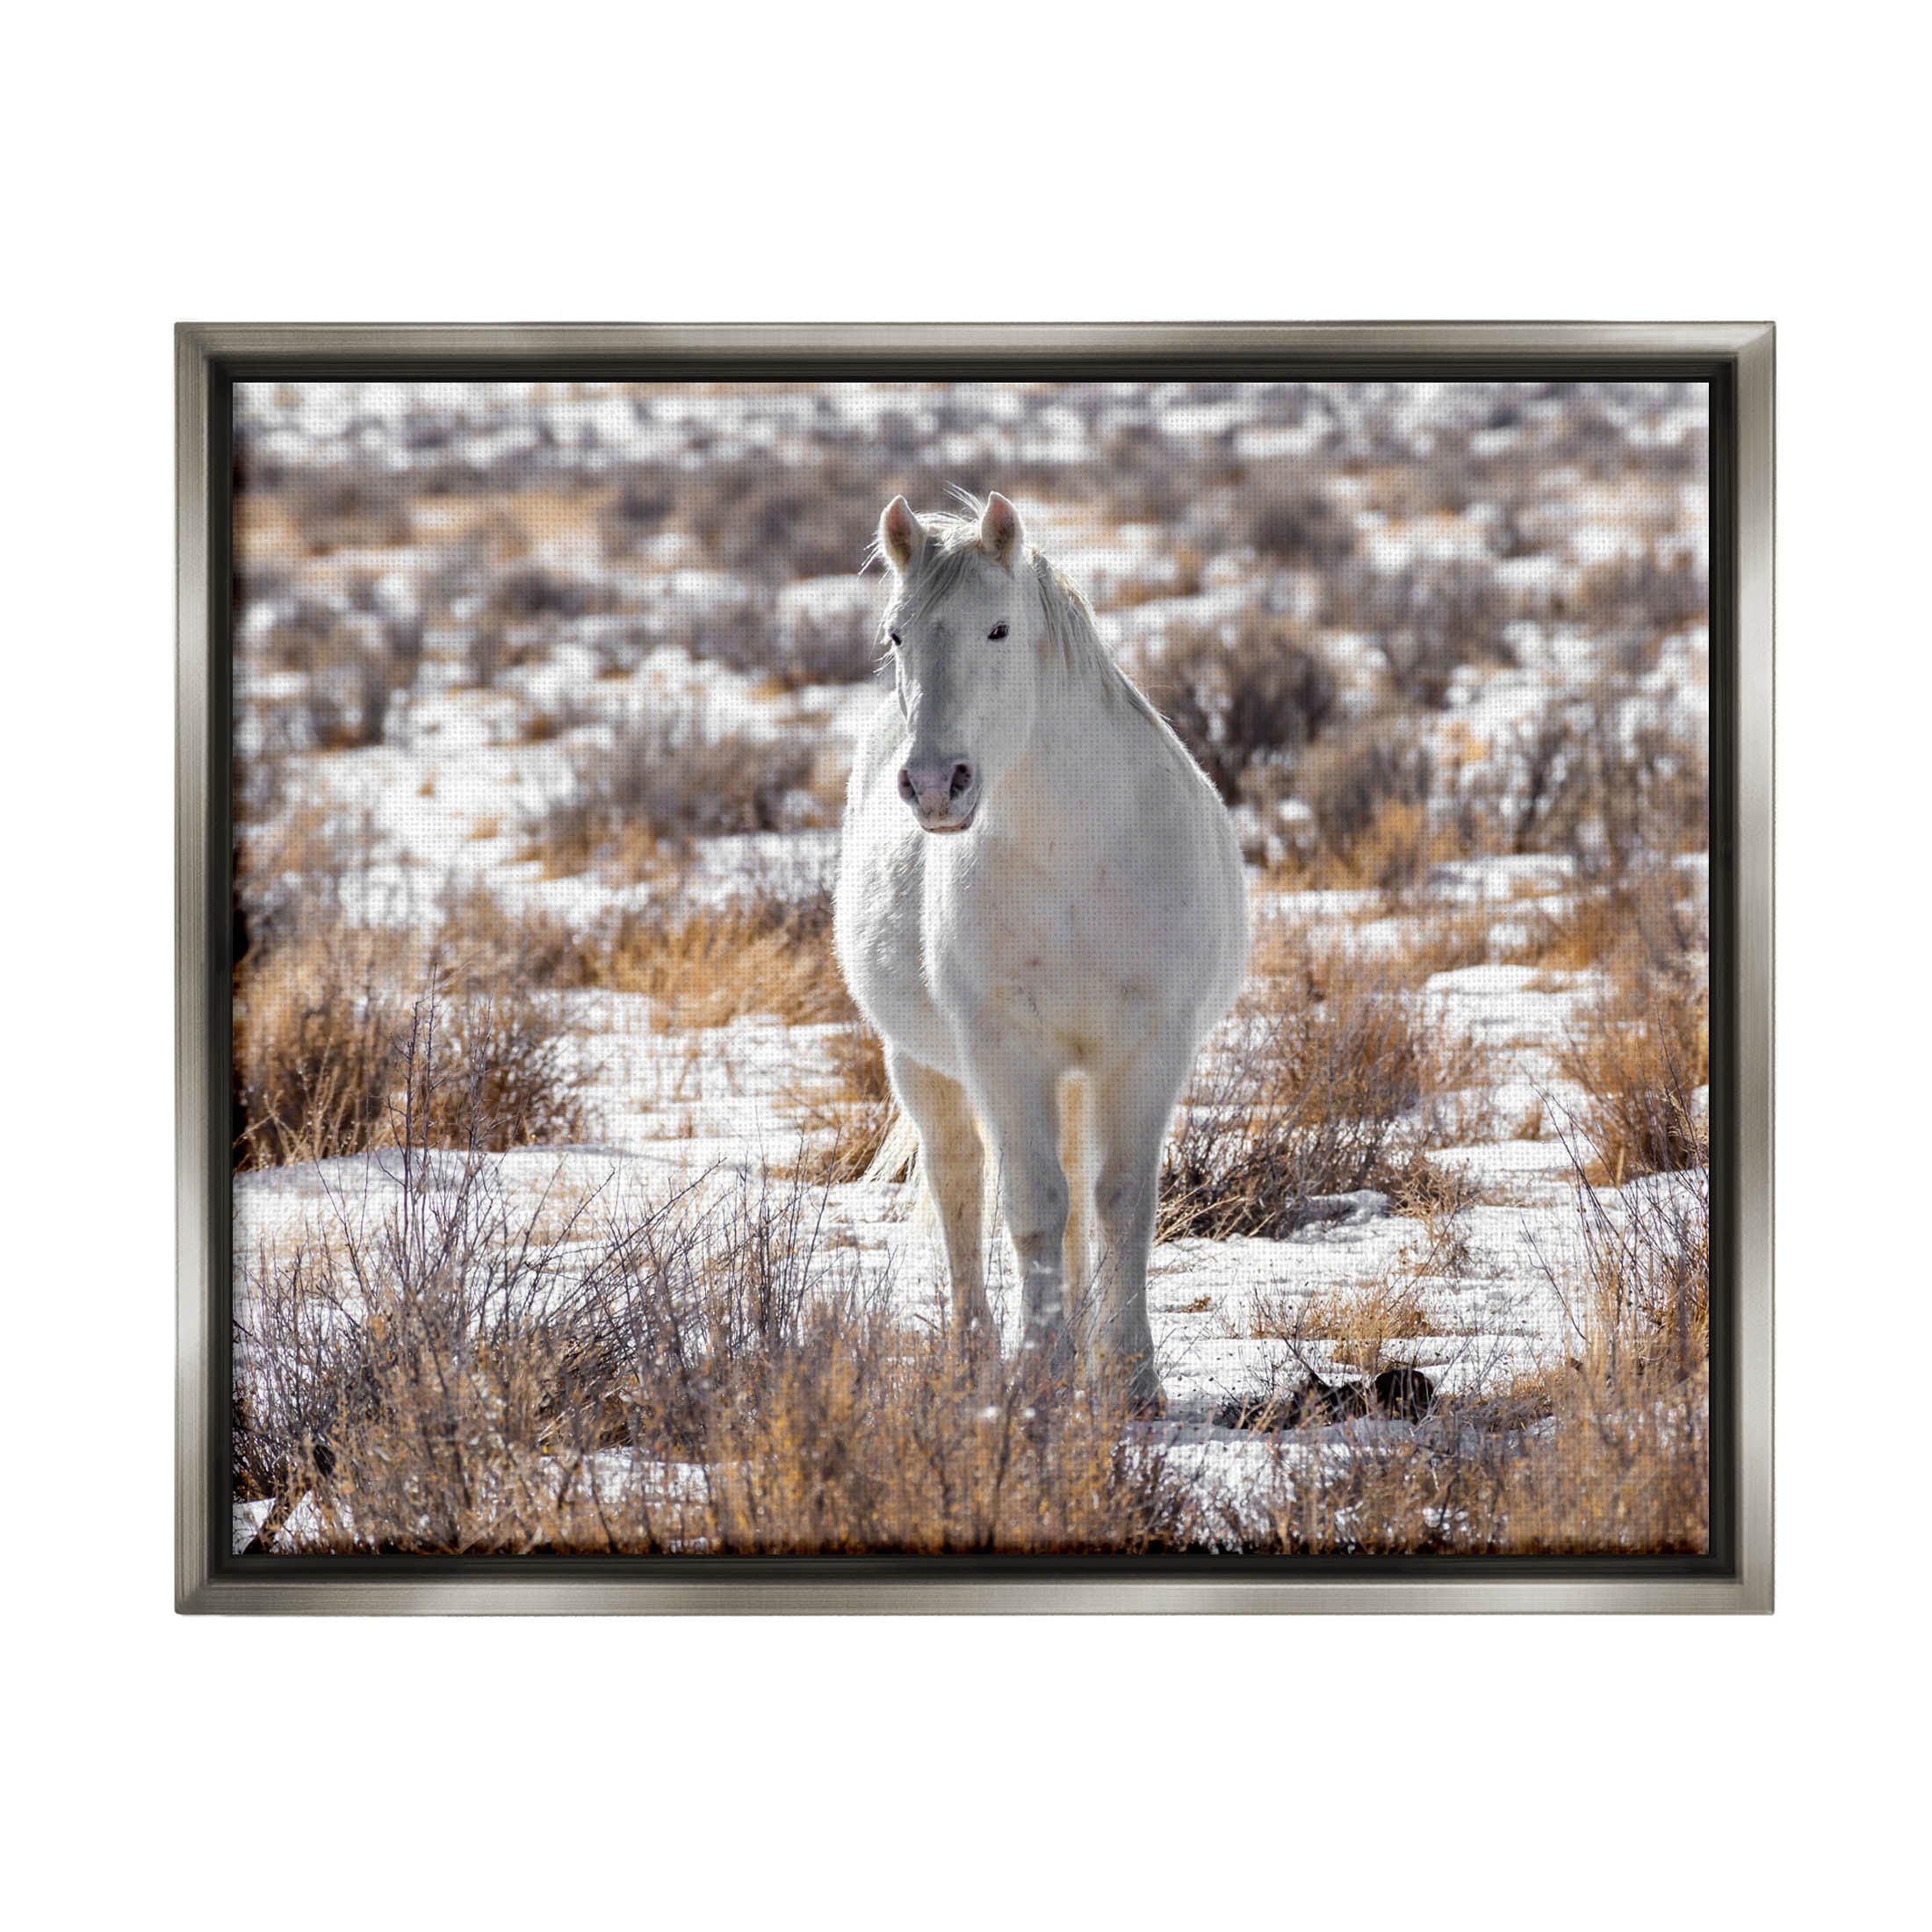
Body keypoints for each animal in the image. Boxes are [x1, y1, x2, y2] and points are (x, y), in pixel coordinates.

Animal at [833, 492, 1249, 1408]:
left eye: (998, 629)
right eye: (896, 634)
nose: (934, 785)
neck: (1076, 859)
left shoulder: (1147, 1048)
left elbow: (1120, 1201)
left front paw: (1130, 1380)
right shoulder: (1002, 1051)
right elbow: (1029, 1205)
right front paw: (1041, 1377)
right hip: (926, 1066)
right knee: (960, 1187)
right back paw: (976, 1353)